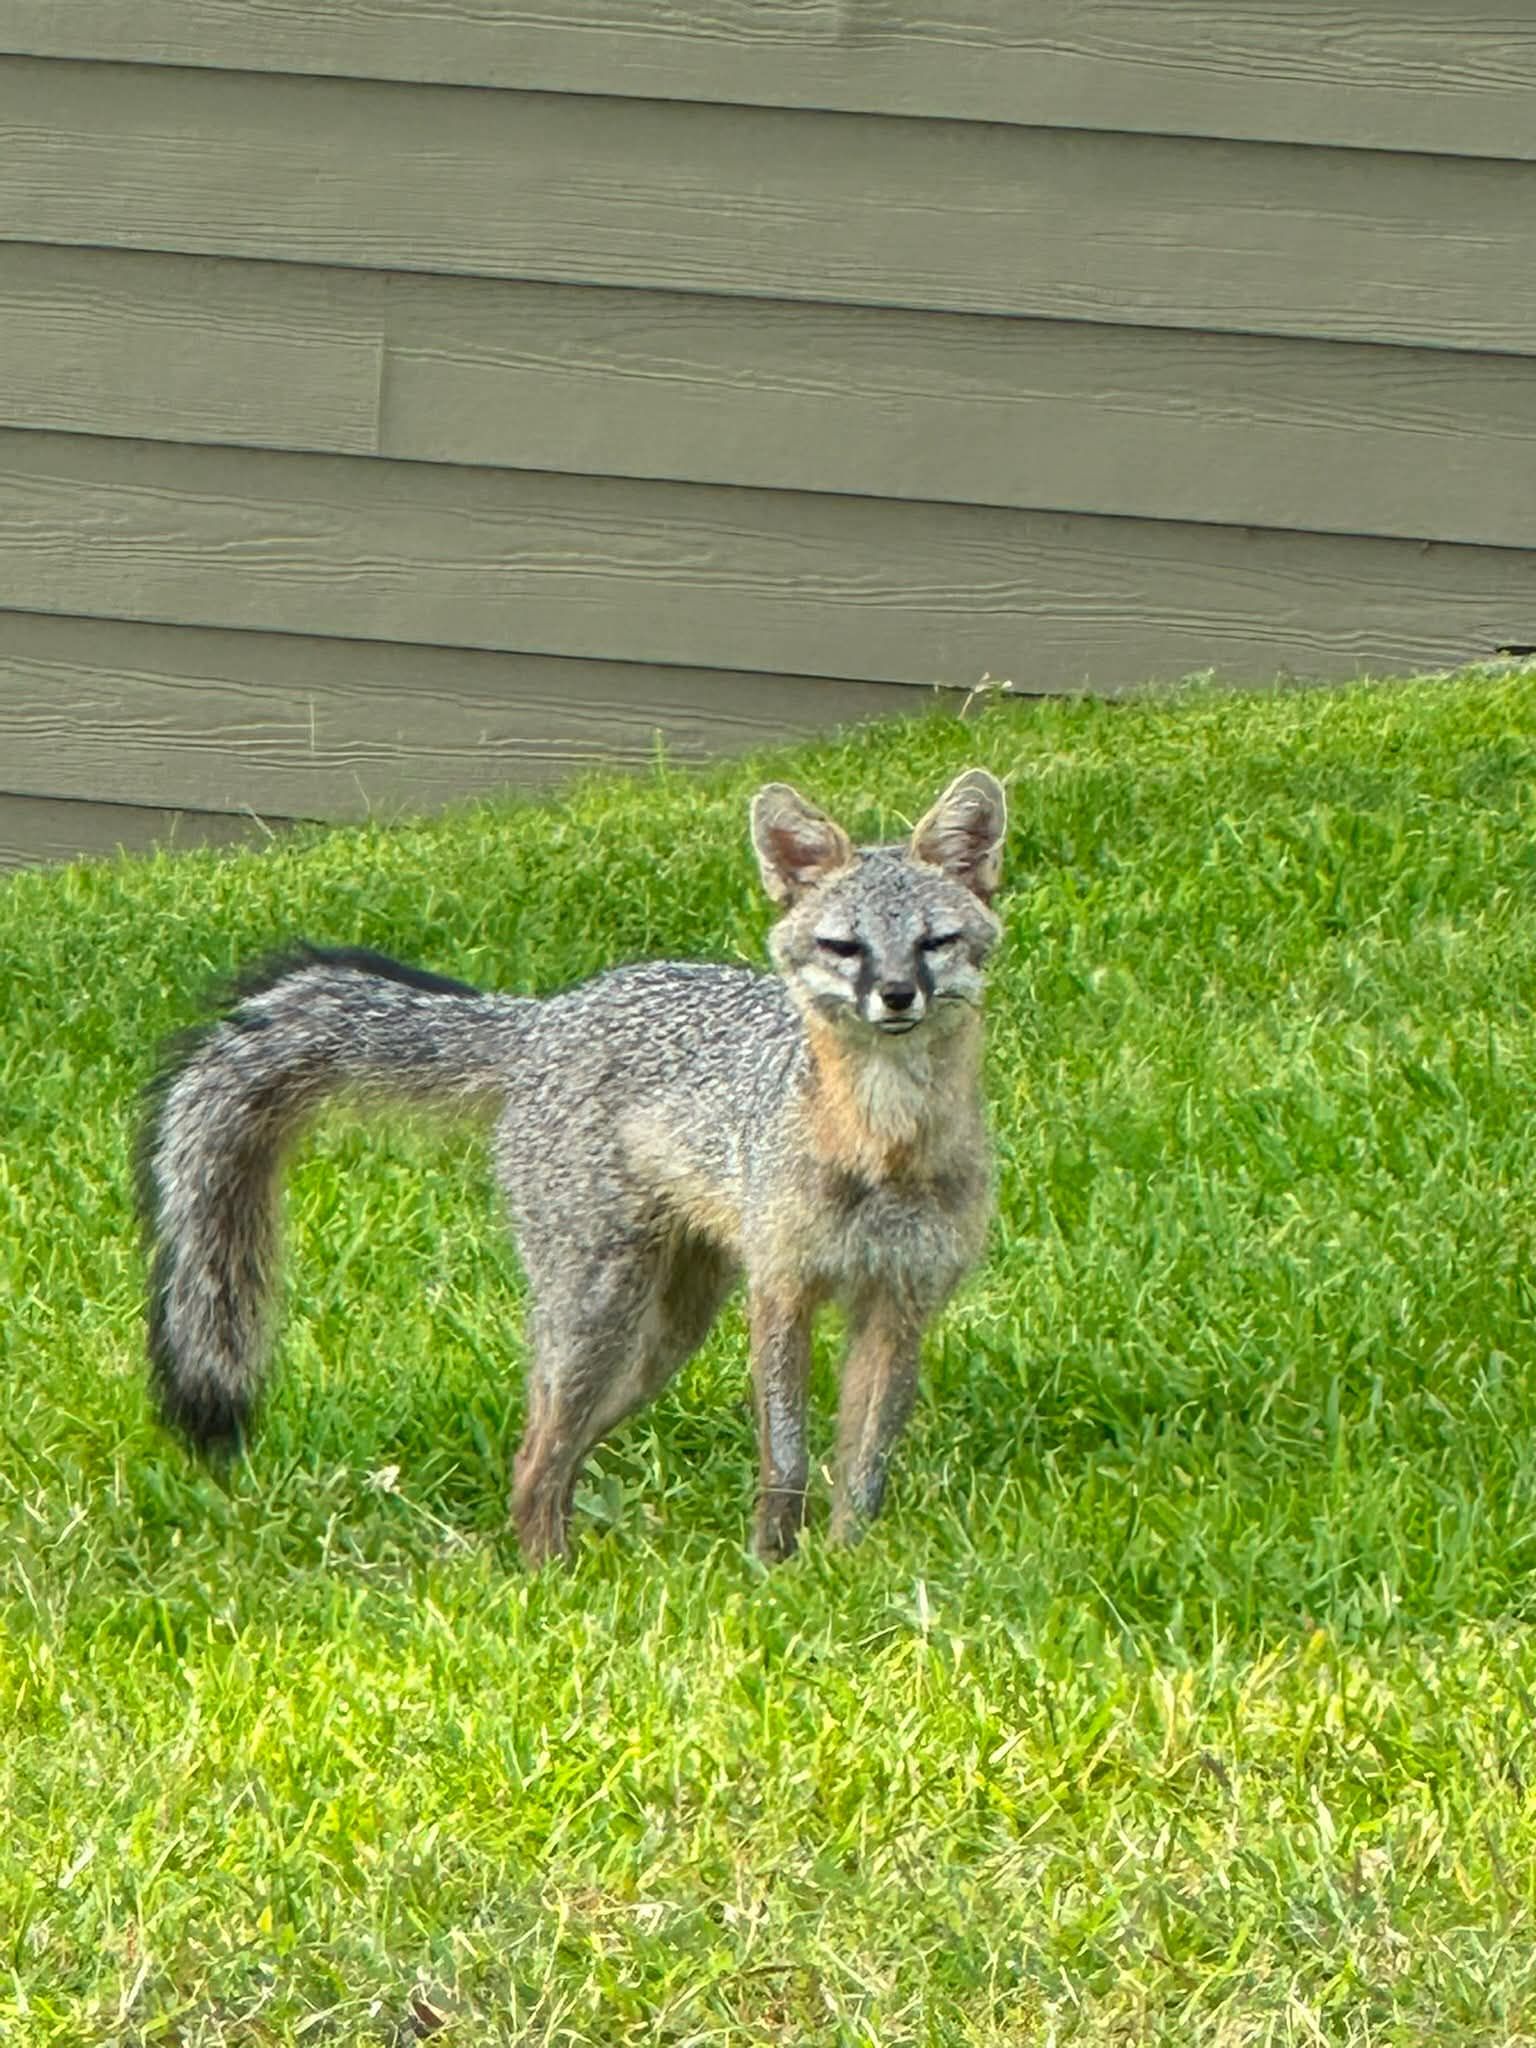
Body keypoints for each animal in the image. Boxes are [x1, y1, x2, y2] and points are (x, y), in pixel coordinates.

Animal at [139, 766, 1008, 1565]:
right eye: (844, 947)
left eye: (933, 943)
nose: (895, 995)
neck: (883, 1147)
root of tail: (546, 1014)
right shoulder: (782, 1289)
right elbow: (787, 1461)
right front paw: (773, 1567)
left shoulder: (901, 1304)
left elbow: (863, 1471)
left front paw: (845, 1570)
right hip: (600, 1310)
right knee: (533, 1459)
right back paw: (550, 1581)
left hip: (661, 1339)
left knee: (555, 1458)